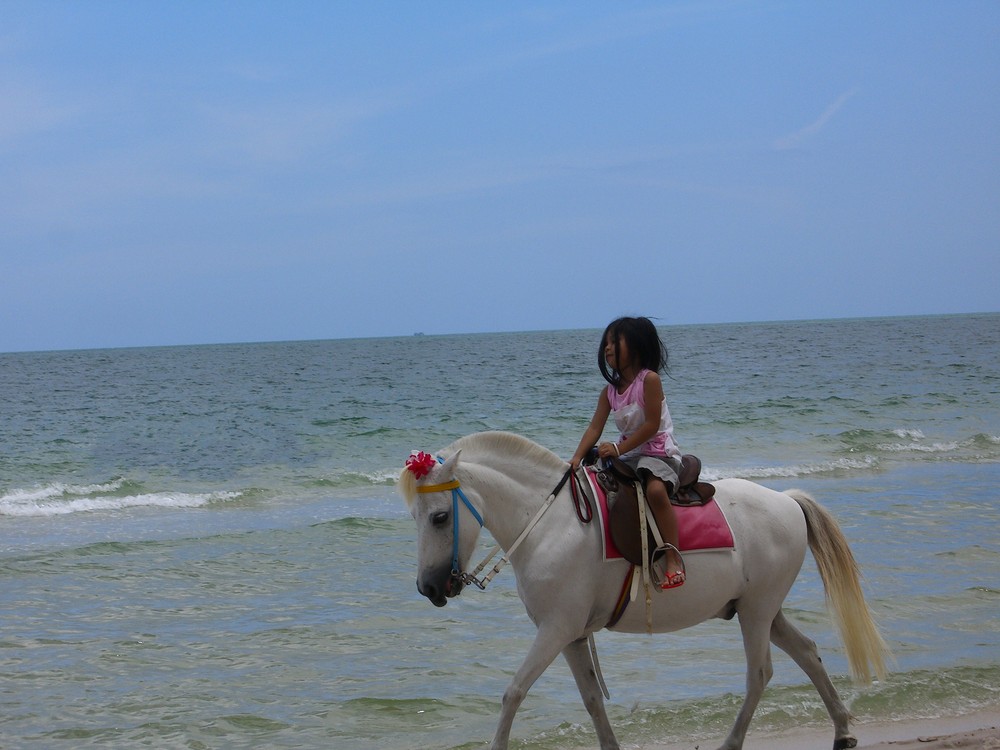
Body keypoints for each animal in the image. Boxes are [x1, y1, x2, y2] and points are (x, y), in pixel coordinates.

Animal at [400, 434, 892, 750]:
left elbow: (514, 692)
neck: (547, 524)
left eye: (440, 517)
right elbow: (592, 701)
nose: (429, 587)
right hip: (762, 610)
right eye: (416, 516)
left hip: (756, 613)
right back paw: (842, 730)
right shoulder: (572, 636)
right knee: (806, 653)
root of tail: (787, 501)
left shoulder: (555, 631)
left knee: (759, 674)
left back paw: (732, 742)